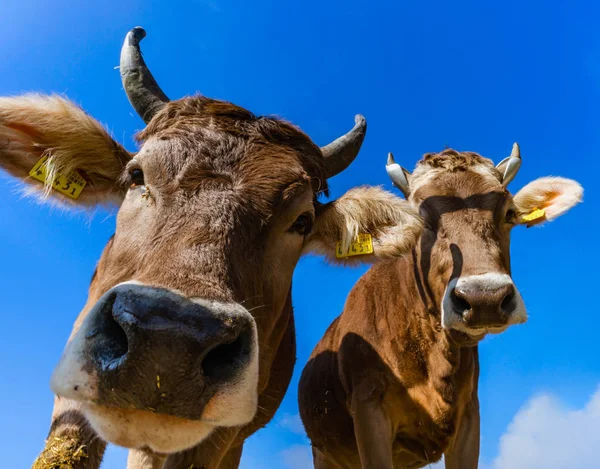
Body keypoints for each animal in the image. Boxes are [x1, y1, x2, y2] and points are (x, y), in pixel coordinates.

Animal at [298, 145, 580, 468]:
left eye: (509, 213)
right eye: (419, 218)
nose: (485, 298)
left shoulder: (469, 416)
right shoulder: (369, 410)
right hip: (324, 453)